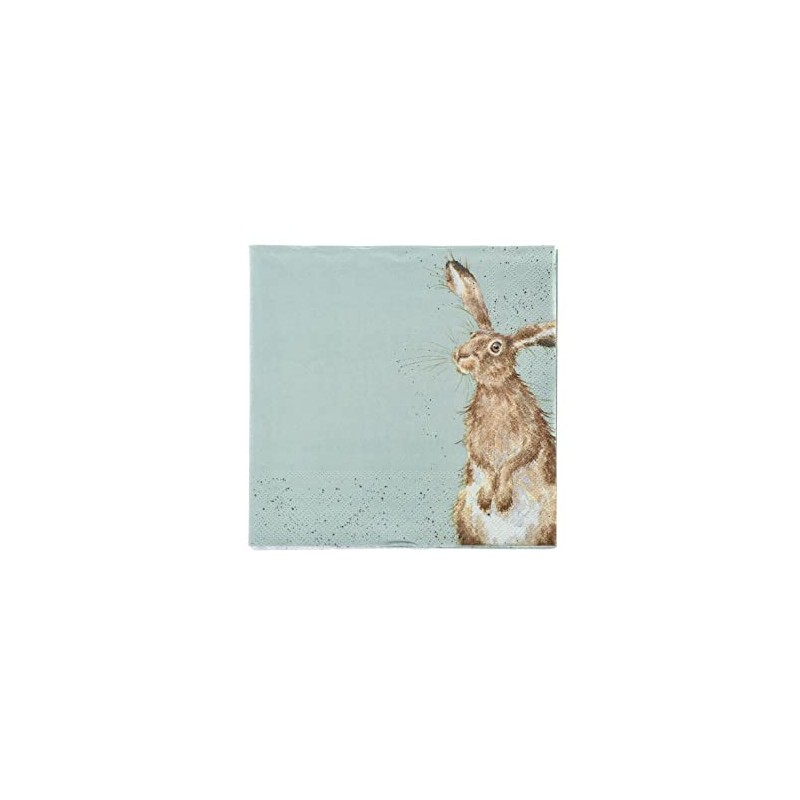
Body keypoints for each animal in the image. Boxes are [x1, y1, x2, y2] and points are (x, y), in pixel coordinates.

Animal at [444, 259, 557, 546]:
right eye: (472, 334)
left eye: (496, 347)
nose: (460, 355)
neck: (495, 390)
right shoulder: (473, 435)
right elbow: (481, 459)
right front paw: (488, 496)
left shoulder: (531, 429)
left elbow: (517, 459)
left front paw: (502, 498)